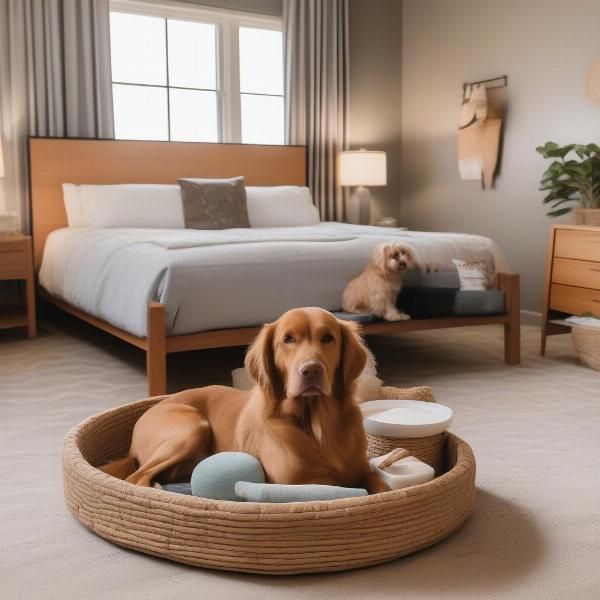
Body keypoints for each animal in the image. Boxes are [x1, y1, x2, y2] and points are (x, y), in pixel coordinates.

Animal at [101, 308, 392, 494]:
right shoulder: (298, 484)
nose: (311, 370)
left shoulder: (363, 472)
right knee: (136, 477)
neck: (314, 424)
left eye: (328, 338)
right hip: (192, 427)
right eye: (288, 339)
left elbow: (382, 487)